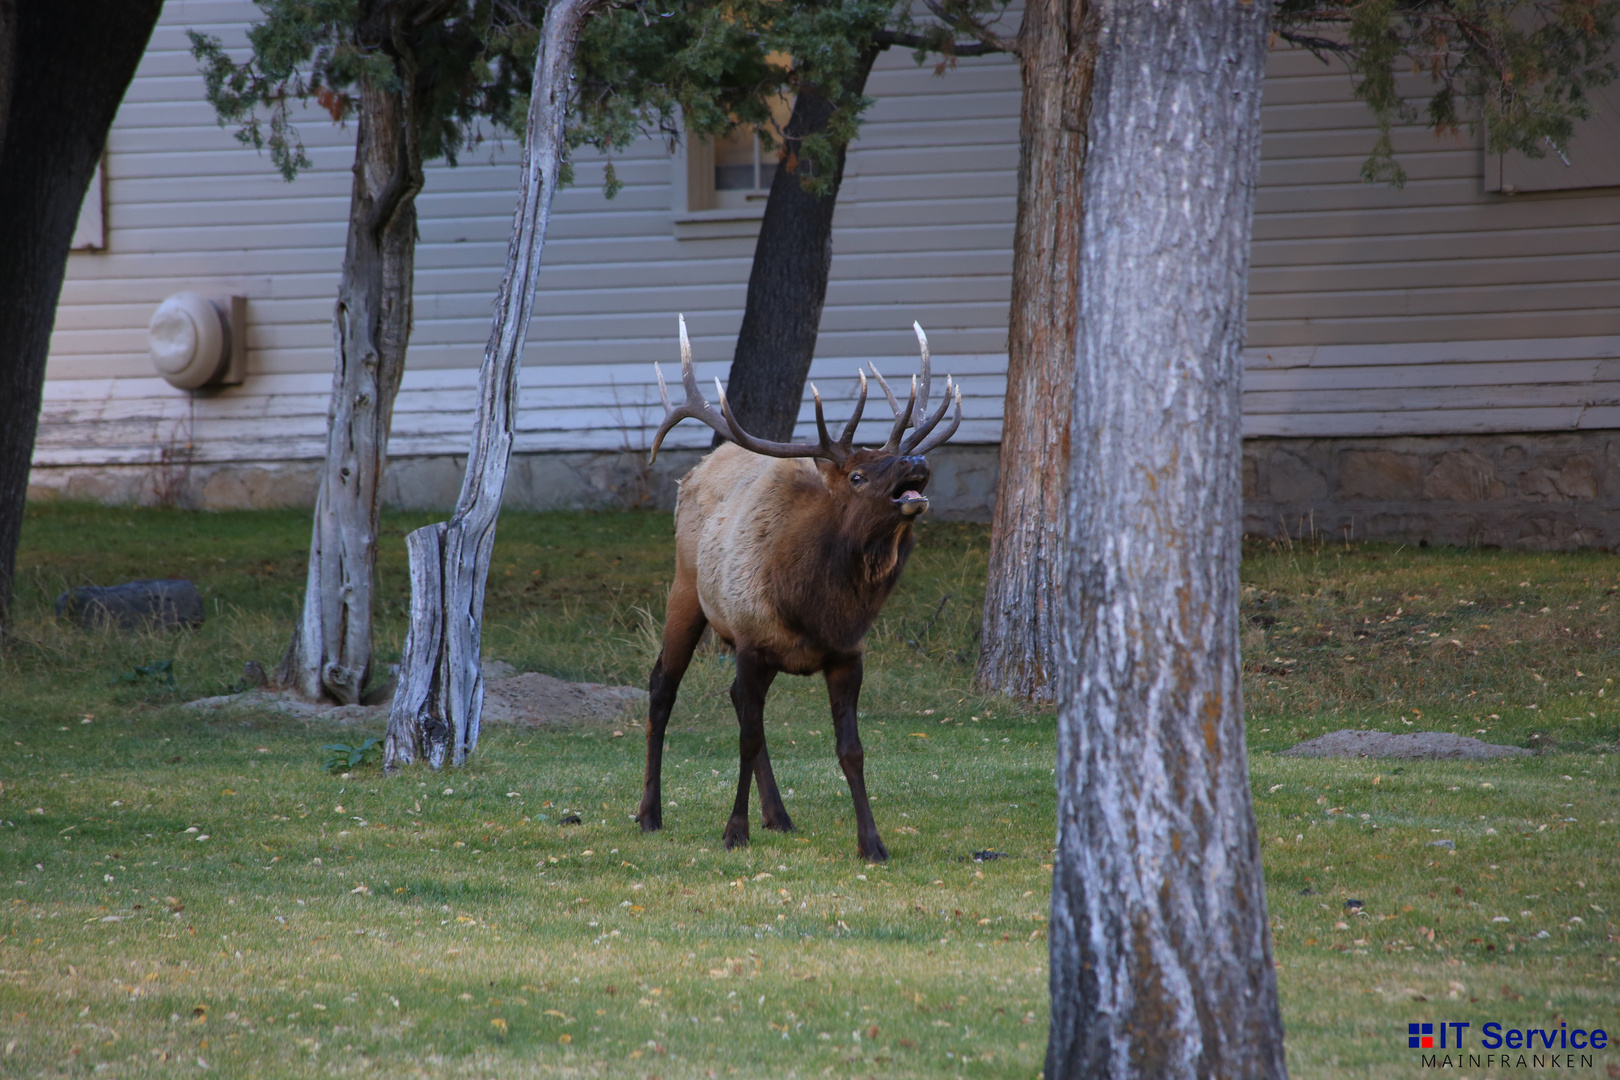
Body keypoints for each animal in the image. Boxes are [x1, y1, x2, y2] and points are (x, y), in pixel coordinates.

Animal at [635, 314, 959, 861]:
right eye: (857, 474)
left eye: (894, 457)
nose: (916, 460)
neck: (812, 606)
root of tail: (696, 470)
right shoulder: (749, 640)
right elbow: (745, 739)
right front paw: (734, 831)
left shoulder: (848, 653)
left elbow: (851, 749)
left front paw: (872, 843)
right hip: (685, 587)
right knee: (663, 687)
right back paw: (649, 814)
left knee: (735, 700)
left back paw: (779, 815)